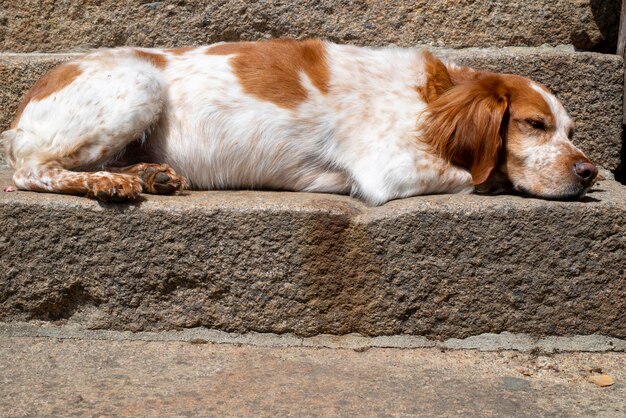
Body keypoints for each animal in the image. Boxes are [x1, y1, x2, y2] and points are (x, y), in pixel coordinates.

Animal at [1, 38, 596, 205]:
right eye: (535, 125)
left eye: (570, 133)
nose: (590, 173)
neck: (431, 99)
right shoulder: (388, 170)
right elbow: (485, 173)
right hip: (139, 84)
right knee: (31, 171)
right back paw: (109, 183)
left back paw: (148, 174)